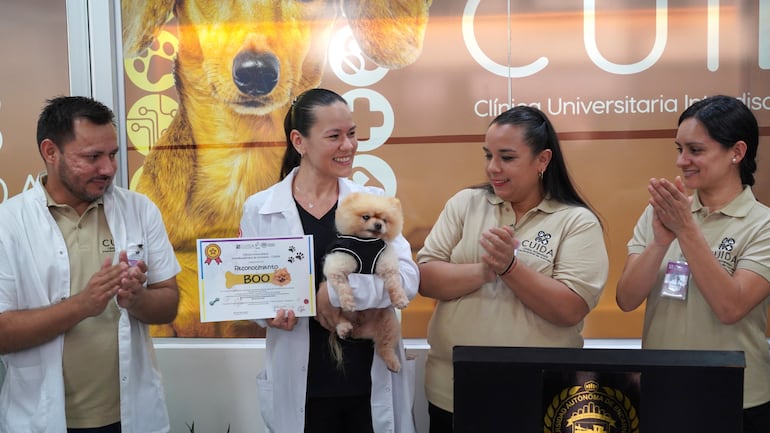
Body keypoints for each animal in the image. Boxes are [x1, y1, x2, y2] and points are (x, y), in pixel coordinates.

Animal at [320, 192, 408, 372]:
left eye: (385, 220)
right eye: (366, 217)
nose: (378, 225)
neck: (366, 243)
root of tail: (359, 330)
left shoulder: (387, 265)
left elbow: (395, 284)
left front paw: (400, 299)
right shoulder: (338, 266)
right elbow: (343, 287)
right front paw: (348, 302)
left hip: (388, 320)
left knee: (383, 346)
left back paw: (392, 362)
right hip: (329, 304)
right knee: (337, 319)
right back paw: (344, 327)